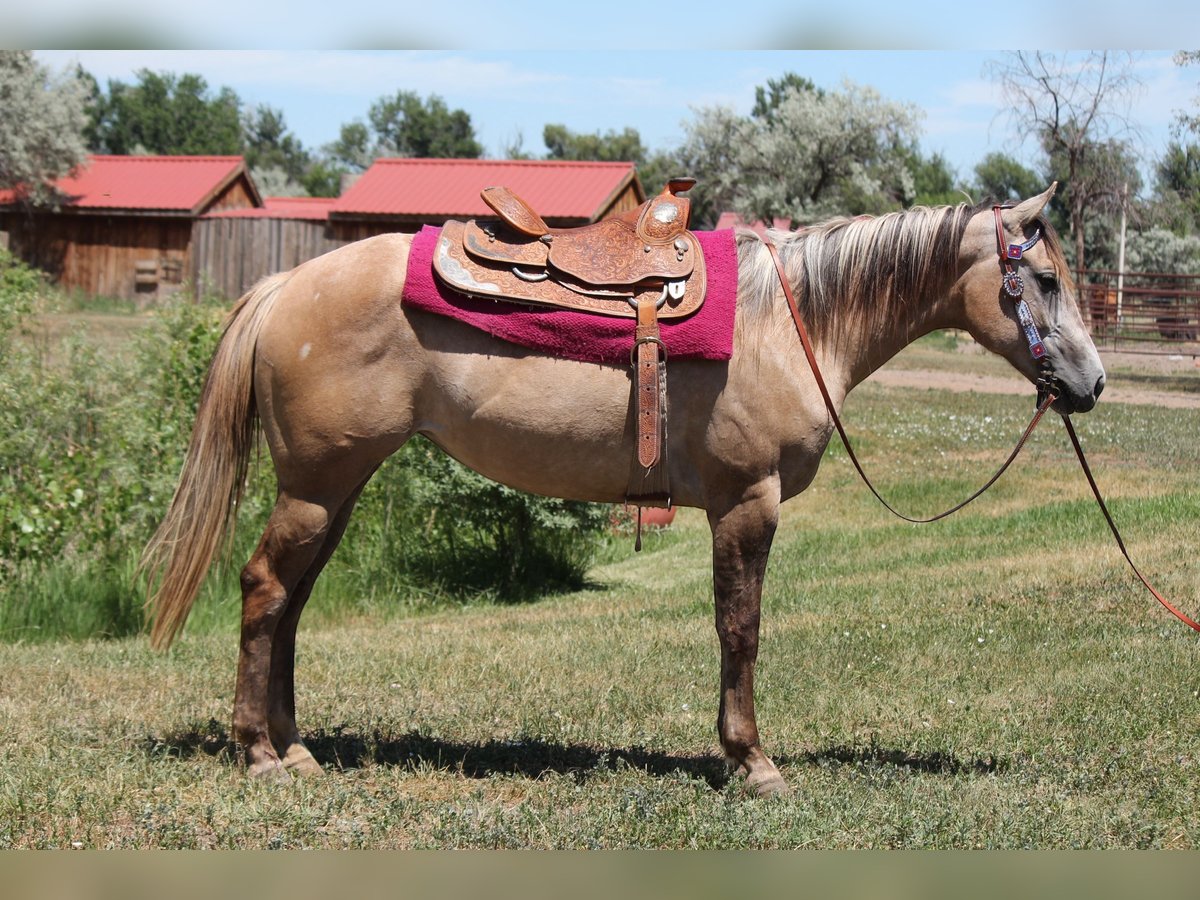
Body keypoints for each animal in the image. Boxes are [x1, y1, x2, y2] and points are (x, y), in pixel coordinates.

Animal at [142, 185, 1105, 796]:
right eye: (1045, 279)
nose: (1092, 384)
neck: (791, 320)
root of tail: (284, 286)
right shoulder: (746, 500)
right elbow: (741, 628)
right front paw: (751, 763)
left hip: (336, 487)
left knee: (291, 601)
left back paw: (295, 746)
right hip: (316, 486)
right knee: (265, 588)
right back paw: (258, 753)